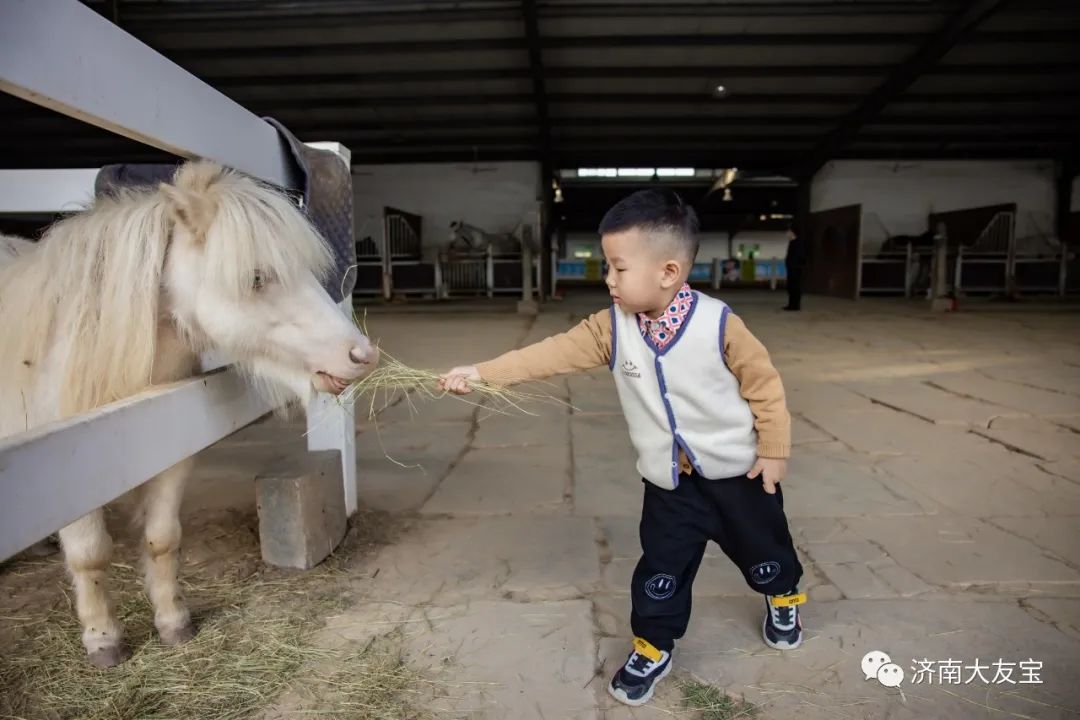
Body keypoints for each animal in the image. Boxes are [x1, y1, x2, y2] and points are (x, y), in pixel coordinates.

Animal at [0, 160, 380, 669]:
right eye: (256, 278)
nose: (361, 354)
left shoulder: (171, 454)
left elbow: (162, 538)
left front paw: (174, 623)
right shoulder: (67, 479)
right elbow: (89, 555)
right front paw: (103, 639)